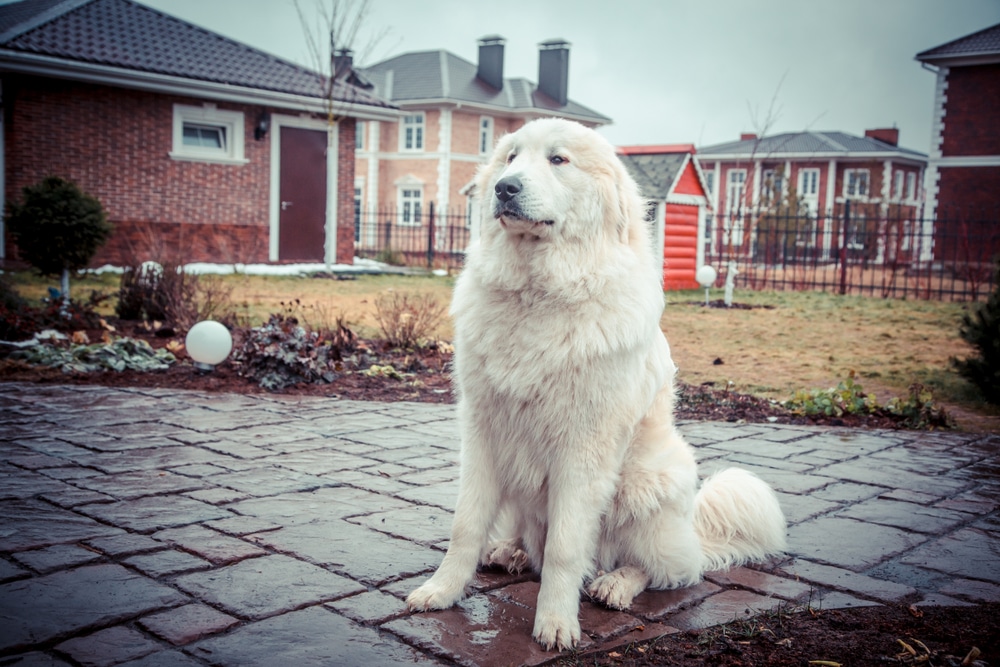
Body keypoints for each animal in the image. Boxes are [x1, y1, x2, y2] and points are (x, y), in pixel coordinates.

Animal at [408, 118, 788, 652]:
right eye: (510, 158)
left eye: (558, 160)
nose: (505, 188)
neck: (538, 294)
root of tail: (694, 526)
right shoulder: (483, 431)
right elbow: (465, 525)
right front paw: (441, 591)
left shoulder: (583, 449)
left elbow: (566, 548)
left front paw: (555, 623)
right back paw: (509, 552)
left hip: (646, 484)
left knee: (668, 570)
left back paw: (614, 584)